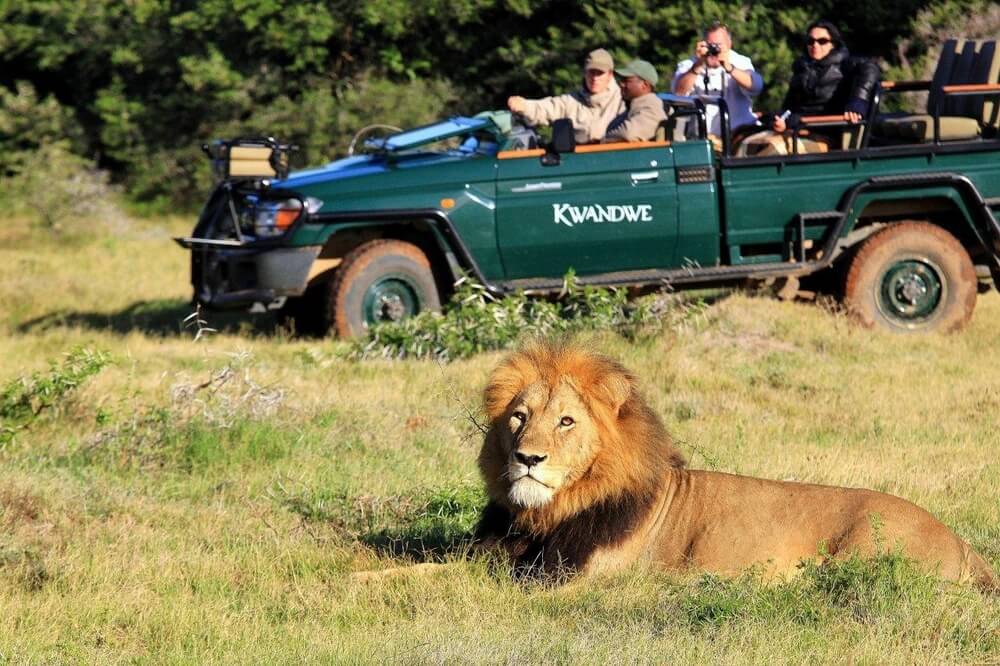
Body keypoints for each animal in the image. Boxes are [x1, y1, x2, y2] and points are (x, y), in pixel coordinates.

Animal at [472, 342, 996, 588]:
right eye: (519, 417)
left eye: (566, 421)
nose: (527, 458)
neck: (544, 515)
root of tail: (964, 543)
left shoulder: (576, 578)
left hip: (862, 546)